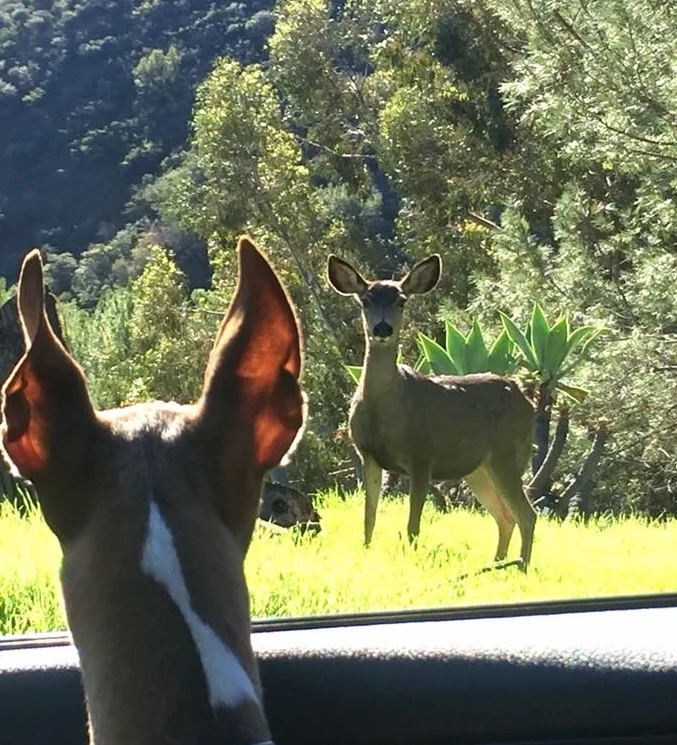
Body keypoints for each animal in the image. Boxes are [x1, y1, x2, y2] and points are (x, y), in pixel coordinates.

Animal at [327, 253, 537, 571]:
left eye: (401, 300)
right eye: (365, 300)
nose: (382, 329)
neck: (386, 410)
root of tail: (528, 400)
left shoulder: (423, 455)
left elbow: (413, 524)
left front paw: (411, 559)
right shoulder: (368, 455)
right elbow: (368, 518)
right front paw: (365, 551)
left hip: (507, 453)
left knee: (527, 515)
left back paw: (520, 568)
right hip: (479, 468)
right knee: (505, 516)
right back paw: (497, 564)